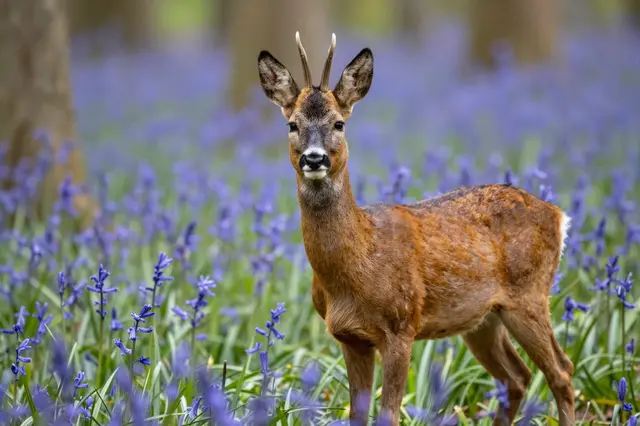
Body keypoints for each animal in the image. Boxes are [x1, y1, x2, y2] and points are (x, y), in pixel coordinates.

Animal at [256, 32, 575, 426]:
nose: (314, 158)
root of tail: (557, 214)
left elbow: (388, 415)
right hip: (484, 317)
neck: (356, 266)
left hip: (529, 295)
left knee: (560, 372)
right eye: (292, 124)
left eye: (339, 123)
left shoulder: (401, 325)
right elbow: (356, 414)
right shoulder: (349, 337)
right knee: (517, 377)